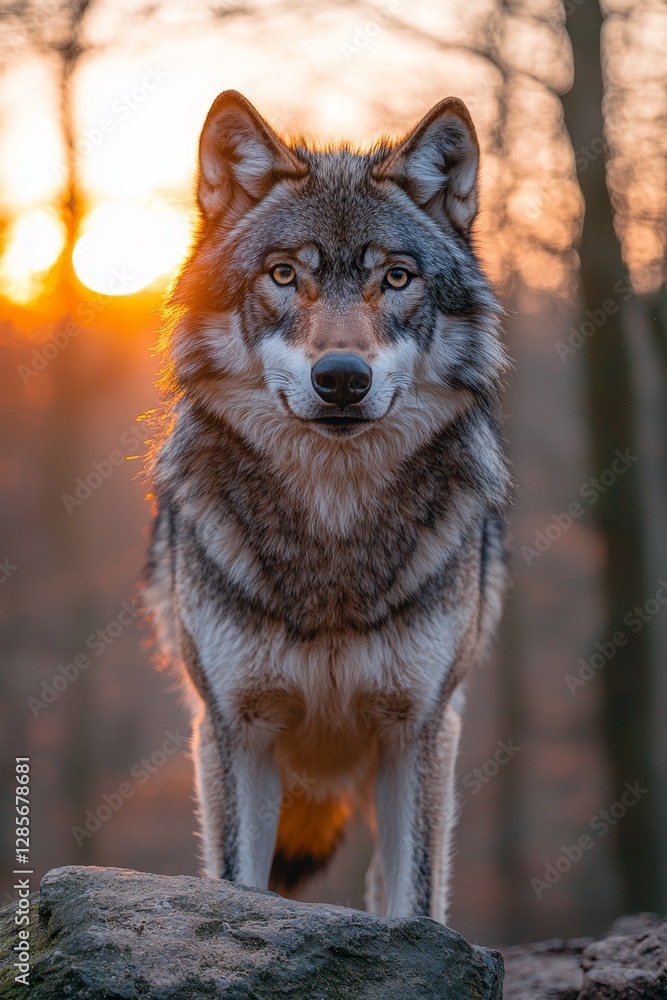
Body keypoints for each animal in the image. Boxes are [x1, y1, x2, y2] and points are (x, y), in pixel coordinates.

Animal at [144, 90, 510, 924]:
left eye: (397, 278)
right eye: (284, 274)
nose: (341, 378)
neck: (333, 528)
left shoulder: (418, 729)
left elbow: (414, 905)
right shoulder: (234, 730)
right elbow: (237, 888)